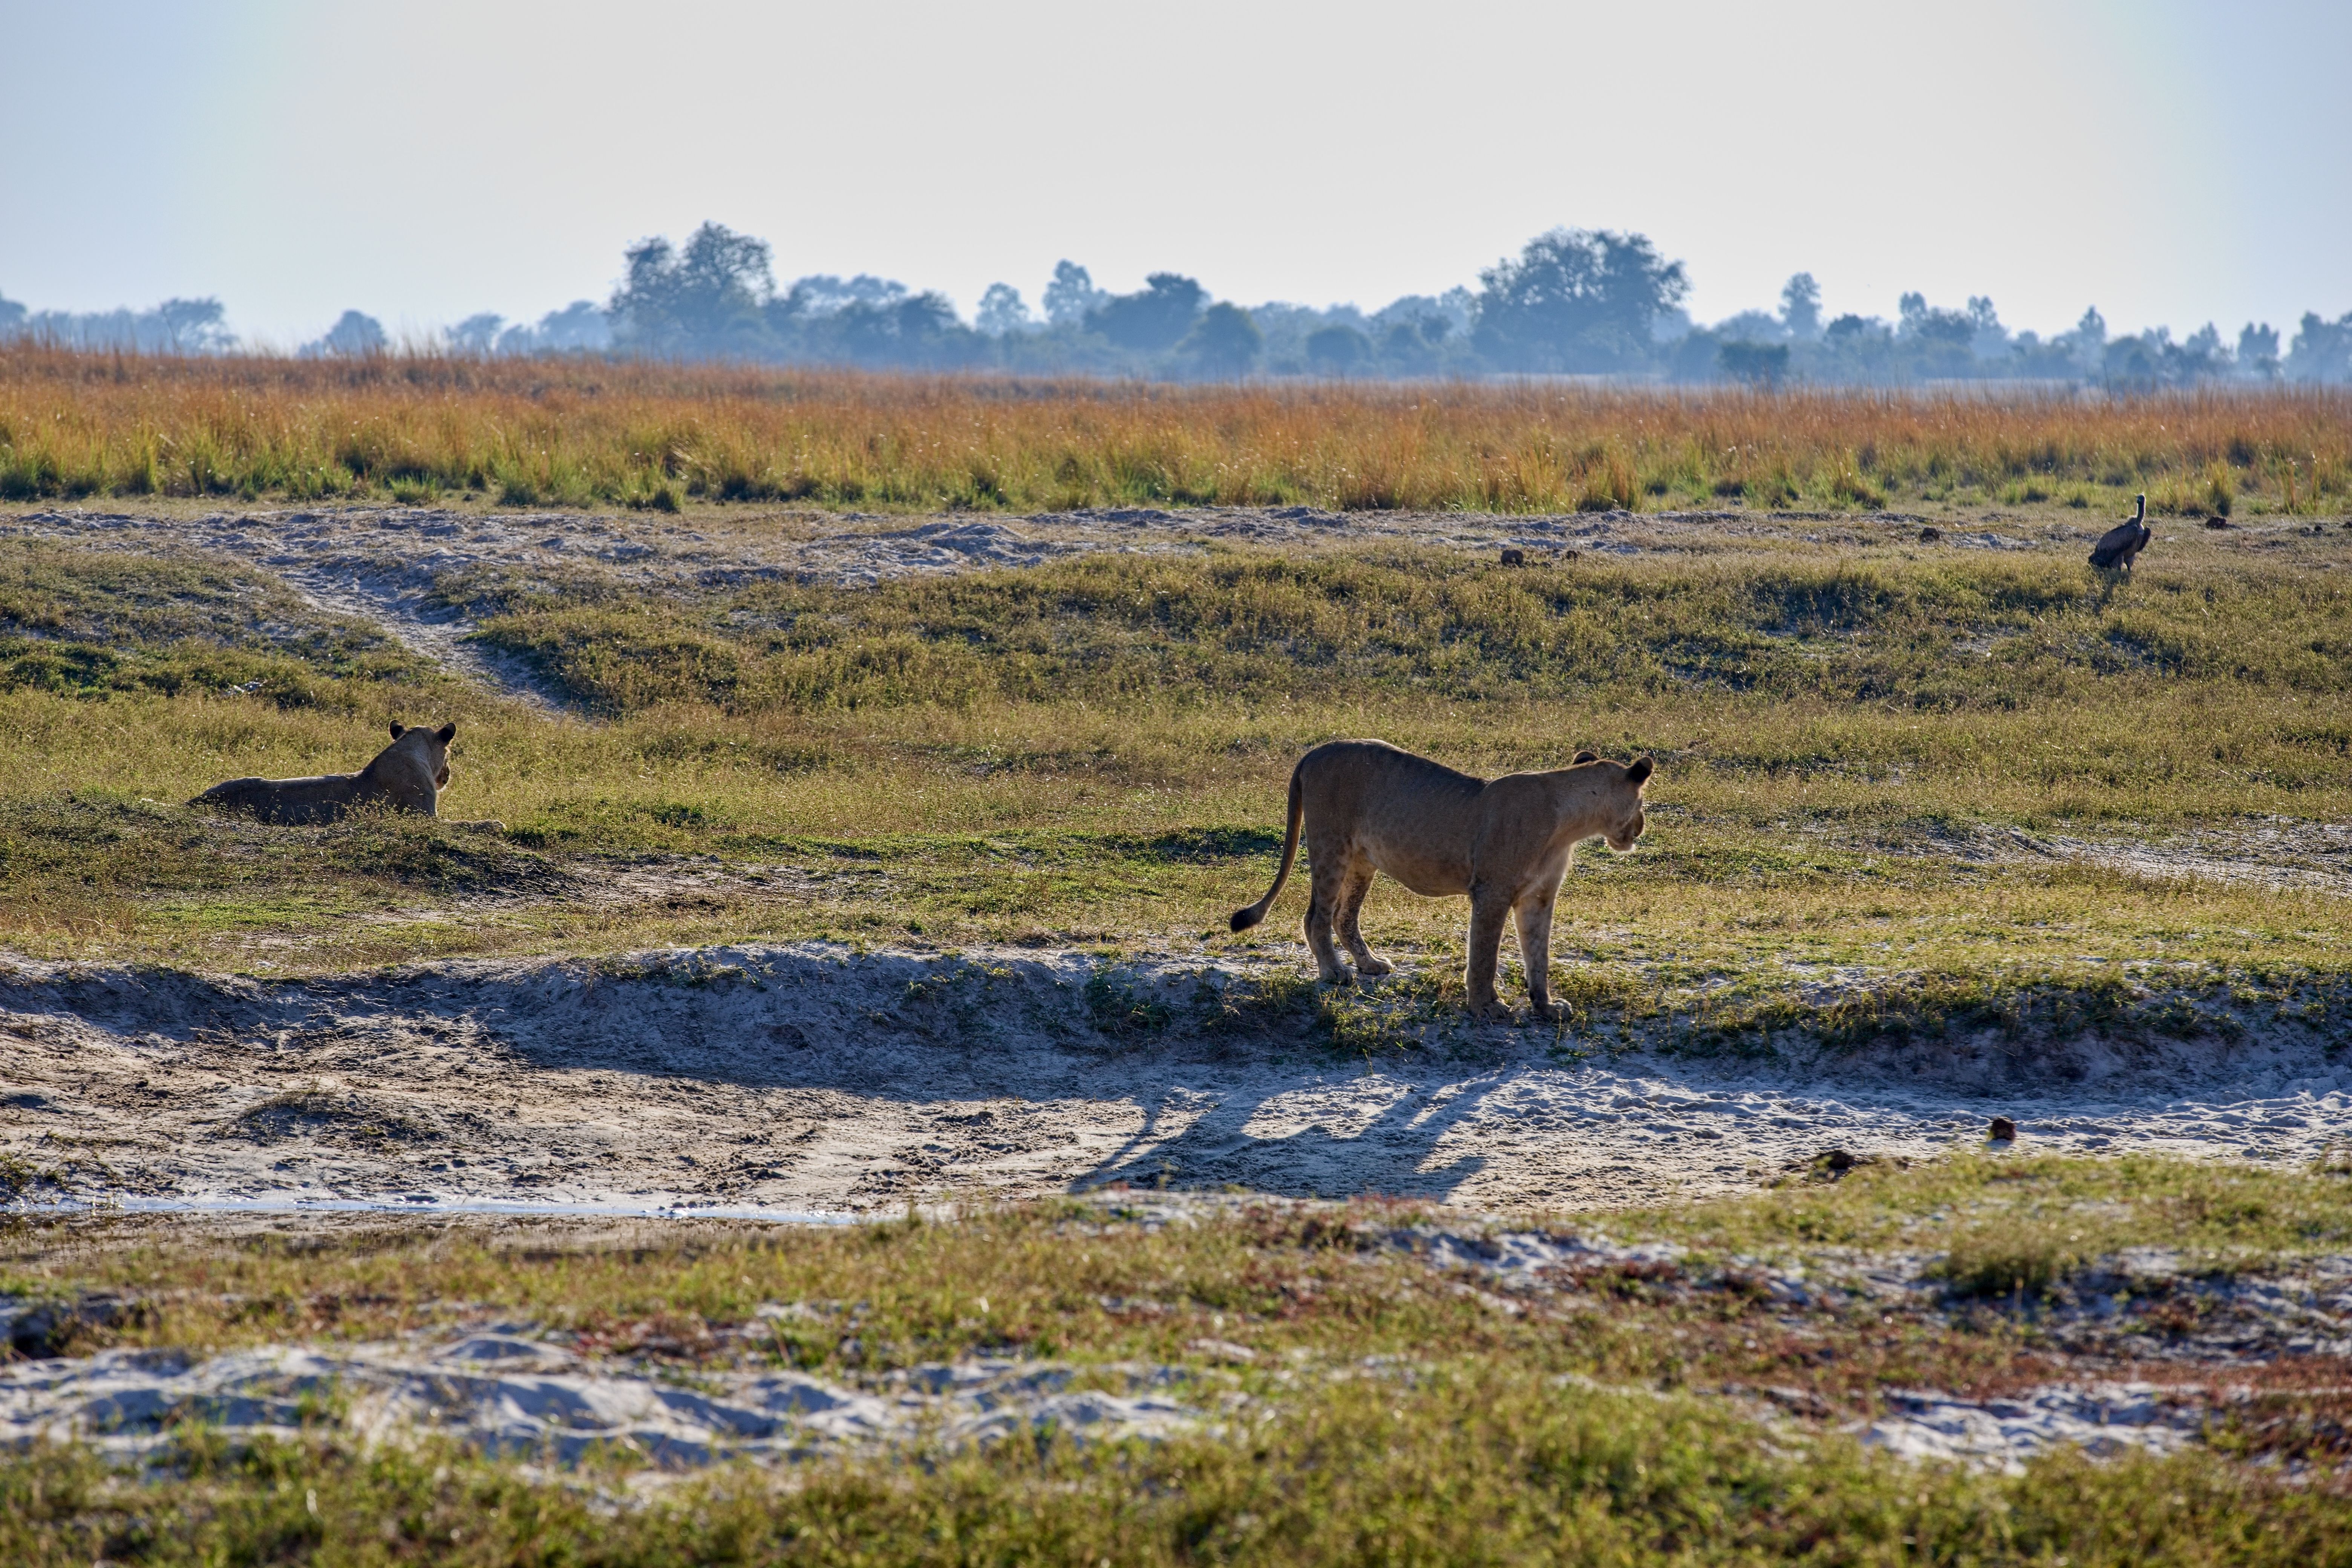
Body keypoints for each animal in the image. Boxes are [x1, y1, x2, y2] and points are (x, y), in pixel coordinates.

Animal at [1230, 739, 1653, 1021]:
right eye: (1642, 803)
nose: (1641, 827)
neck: (1570, 824)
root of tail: (1314, 751)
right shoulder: (1492, 891)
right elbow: (1484, 954)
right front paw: (1487, 1006)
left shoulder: (1540, 898)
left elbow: (1539, 955)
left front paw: (1546, 1006)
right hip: (1331, 844)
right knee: (1316, 916)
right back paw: (1334, 973)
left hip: (1362, 860)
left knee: (1343, 916)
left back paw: (1369, 964)